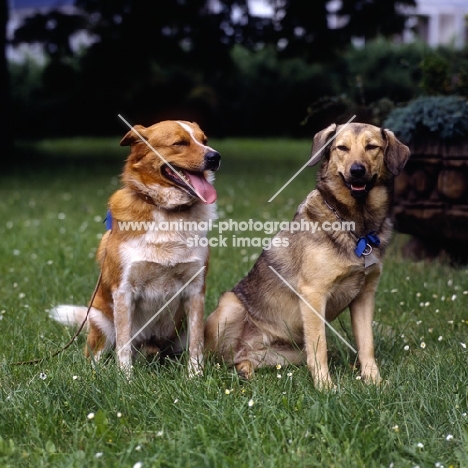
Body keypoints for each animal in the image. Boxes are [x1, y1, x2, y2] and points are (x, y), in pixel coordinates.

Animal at [52, 120, 220, 376]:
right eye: (179, 143)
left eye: (205, 140)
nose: (215, 157)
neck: (168, 214)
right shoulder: (124, 291)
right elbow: (123, 346)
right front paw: (125, 380)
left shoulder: (195, 291)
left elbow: (196, 346)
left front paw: (195, 377)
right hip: (101, 322)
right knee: (97, 356)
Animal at [203, 120, 408, 388]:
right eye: (342, 148)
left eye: (372, 147)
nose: (357, 170)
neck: (357, 226)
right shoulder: (314, 294)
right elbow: (319, 348)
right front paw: (325, 387)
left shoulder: (365, 296)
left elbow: (367, 345)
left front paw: (374, 382)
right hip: (229, 307)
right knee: (215, 358)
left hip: (286, 355)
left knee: (241, 359)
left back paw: (245, 370)